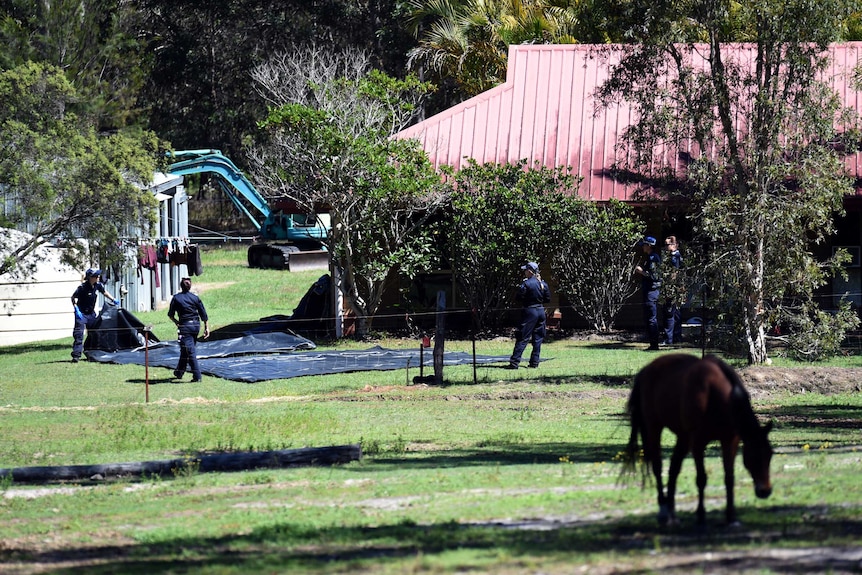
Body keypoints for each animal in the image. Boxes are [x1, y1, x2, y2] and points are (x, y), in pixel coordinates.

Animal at [624, 352, 772, 528]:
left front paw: (731, 517)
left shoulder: (730, 441)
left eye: (770, 455)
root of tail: (647, 369)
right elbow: (701, 478)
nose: (765, 491)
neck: (714, 396)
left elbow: (729, 477)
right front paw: (701, 516)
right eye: (753, 456)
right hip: (655, 427)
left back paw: (672, 514)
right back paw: (663, 512)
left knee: (674, 469)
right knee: (658, 467)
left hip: (683, 437)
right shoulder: (697, 443)